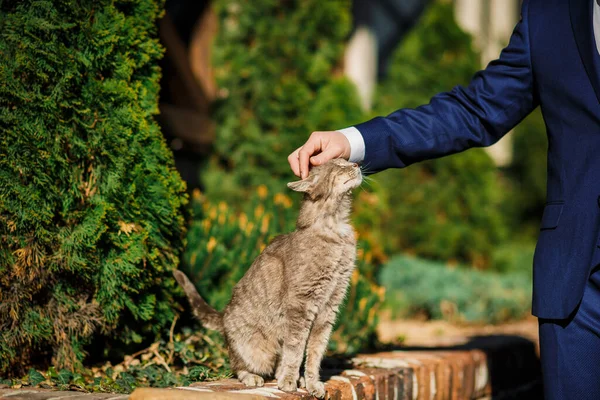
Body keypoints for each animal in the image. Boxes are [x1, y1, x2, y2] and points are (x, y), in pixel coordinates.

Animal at [173, 158, 360, 398]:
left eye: (347, 161)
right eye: (339, 165)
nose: (356, 164)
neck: (337, 228)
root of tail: (223, 316)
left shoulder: (329, 308)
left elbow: (314, 354)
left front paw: (312, 383)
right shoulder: (301, 306)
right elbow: (295, 349)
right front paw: (289, 380)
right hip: (255, 351)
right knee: (237, 365)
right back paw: (253, 377)